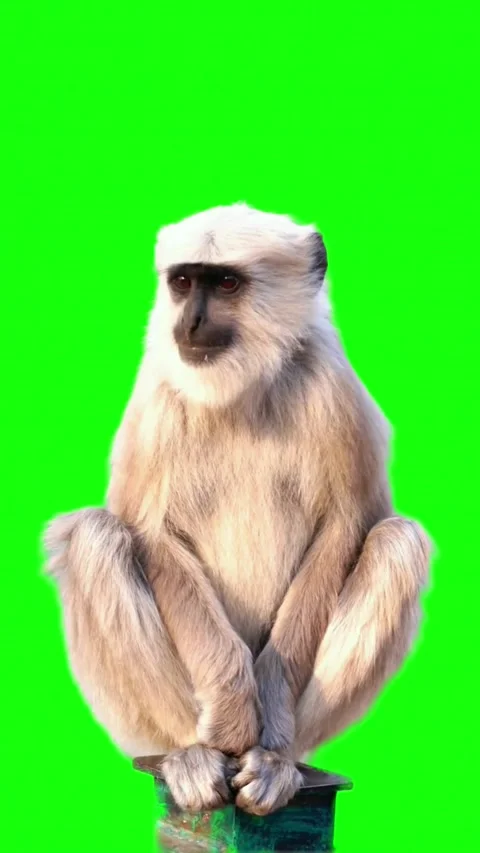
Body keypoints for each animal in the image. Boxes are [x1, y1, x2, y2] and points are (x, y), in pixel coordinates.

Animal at [44, 203, 430, 817]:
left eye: (226, 283)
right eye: (183, 282)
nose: (191, 322)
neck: (241, 391)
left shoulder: (331, 384)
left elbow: (347, 528)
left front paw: (266, 712)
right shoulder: (158, 390)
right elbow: (151, 535)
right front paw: (231, 714)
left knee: (397, 541)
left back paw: (276, 759)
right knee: (95, 535)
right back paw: (193, 754)